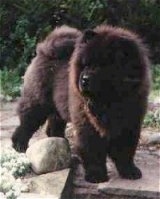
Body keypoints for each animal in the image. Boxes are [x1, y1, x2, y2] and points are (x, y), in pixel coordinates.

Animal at [11, 24, 151, 183]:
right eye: (85, 65)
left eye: (103, 65)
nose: (84, 79)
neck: (109, 101)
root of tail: (44, 49)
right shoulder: (87, 124)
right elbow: (93, 150)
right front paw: (96, 175)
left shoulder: (130, 123)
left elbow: (125, 150)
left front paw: (130, 171)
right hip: (38, 103)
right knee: (26, 124)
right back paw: (19, 146)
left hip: (58, 108)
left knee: (53, 127)